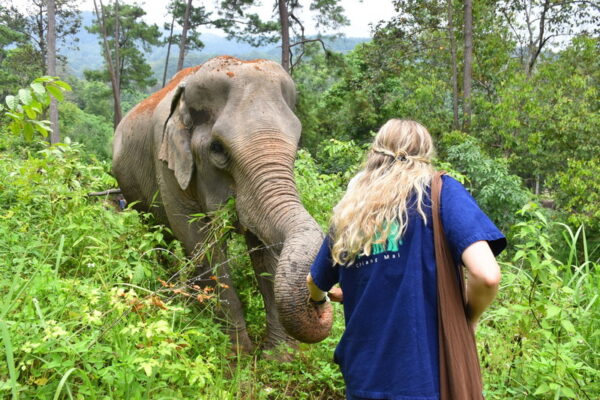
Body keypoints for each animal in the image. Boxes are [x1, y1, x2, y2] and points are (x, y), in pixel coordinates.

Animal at [112, 55, 332, 350]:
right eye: (217, 149)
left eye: (296, 146)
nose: (319, 301)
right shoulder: (167, 164)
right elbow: (200, 242)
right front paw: (237, 355)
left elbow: (264, 251)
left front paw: (278, 355)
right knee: (159, 236)